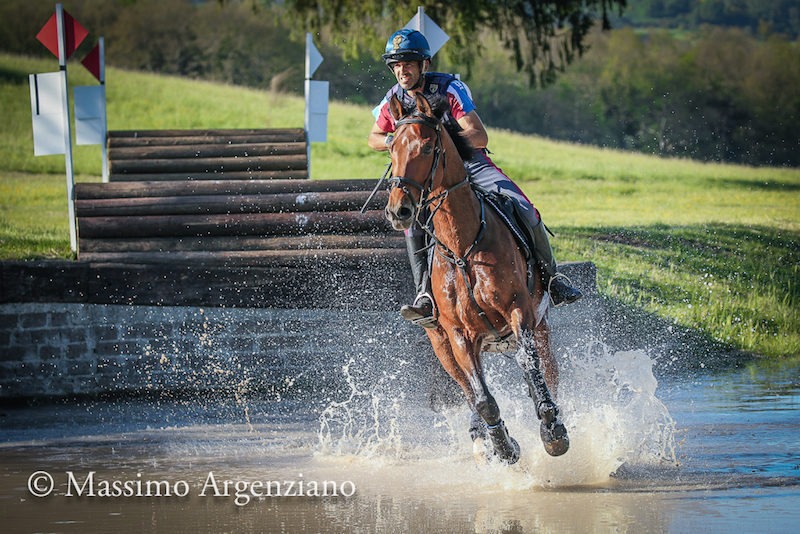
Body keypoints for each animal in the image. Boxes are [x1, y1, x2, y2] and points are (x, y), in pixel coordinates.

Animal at [382, 93, 564, 464]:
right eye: (392, 149)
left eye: (426, 147)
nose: (398, 211)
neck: (463, 247)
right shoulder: (458, 336)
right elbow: (482, 399)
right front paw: (504, 447)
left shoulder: (519, 311)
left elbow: (530, 367)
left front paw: (552, 430)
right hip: (442, 347)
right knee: (469, 391)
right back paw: (481, 438)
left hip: (540, 328)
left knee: (548, 373)